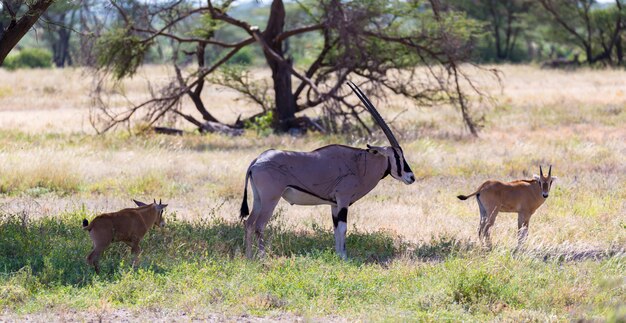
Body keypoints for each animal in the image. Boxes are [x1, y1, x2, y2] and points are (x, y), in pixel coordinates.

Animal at [239, 81, 414, 260]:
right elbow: (343, 228)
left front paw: (338, 255)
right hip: (270, 199)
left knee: (249, 223)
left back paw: (249, 257)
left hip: (259, 199)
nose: (411, 177)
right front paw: (344, 257)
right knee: (259, 225)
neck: (360, 164)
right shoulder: (343, 200)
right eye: (397, 156)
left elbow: (336, 229)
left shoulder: (334, 204)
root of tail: (257, 161)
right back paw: (261, 257)